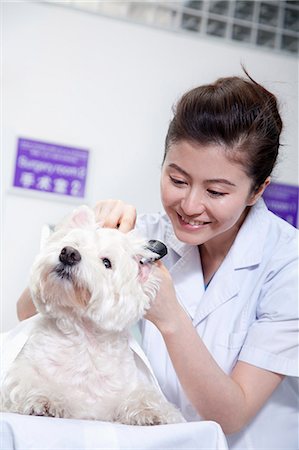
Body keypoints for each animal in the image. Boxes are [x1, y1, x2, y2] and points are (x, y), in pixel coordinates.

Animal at [0, 206, 183, 424]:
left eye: (106, 262)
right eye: (73, 244)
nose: (69, 253)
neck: (84, 341)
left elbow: (144, 395)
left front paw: (152, 412)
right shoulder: (19, 373)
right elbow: (29, 381)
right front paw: (46, 400)